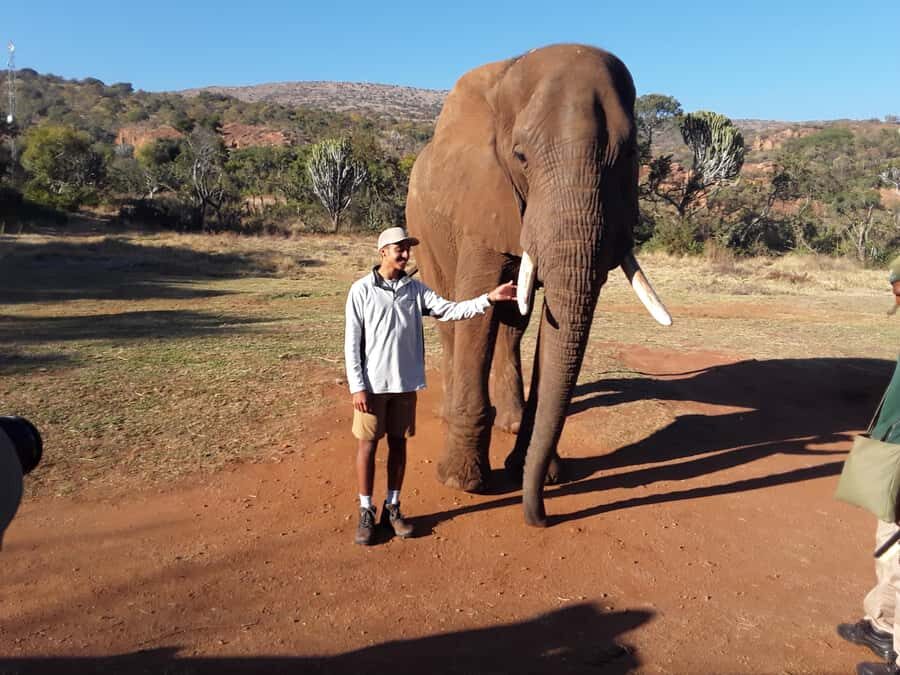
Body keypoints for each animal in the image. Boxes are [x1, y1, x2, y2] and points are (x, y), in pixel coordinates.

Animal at [406, 44, 671, 527]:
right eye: (521, 156)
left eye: (629, 156)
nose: (542, 518)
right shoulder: (483, 197)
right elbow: (477, 307)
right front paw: (462, 483)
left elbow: (553, 323)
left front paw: (536, 473)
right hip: (422, 225)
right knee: (450, 315)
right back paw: (449, 413)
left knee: (513, 325)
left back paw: (509, 422)